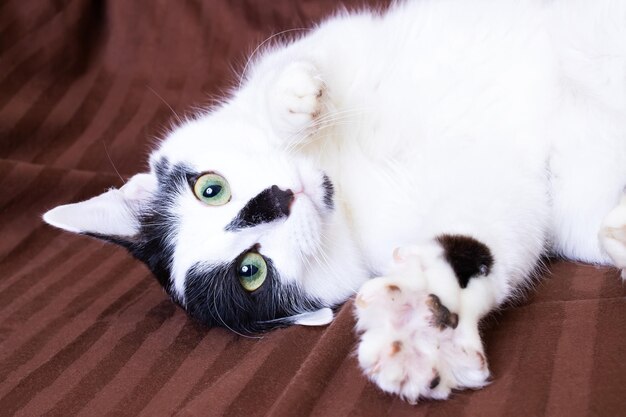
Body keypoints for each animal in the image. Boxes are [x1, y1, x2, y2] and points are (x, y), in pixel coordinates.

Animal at [44, 0, 624, 404]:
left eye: (210, 189)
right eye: (251, 271)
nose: (276, 200)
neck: (346, 177)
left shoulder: (340, 42)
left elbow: (289, 67)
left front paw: (292, 103)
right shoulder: (504, 192)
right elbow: (492, 238)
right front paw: (420, 327)